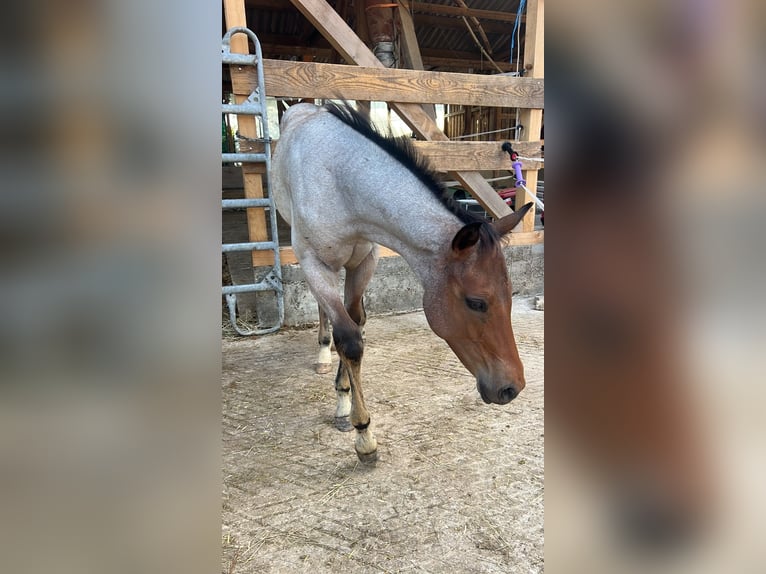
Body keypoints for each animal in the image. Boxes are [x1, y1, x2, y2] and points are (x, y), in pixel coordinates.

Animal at [271, 102, 533, 463]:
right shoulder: (315, 263)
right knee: (325, 313)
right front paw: (362, 432)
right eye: (476, 302)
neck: (339, 182)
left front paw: (344, 396)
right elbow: (348, 338)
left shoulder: (364, 261)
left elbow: (355, 322)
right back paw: (323, 353)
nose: (512, 387)